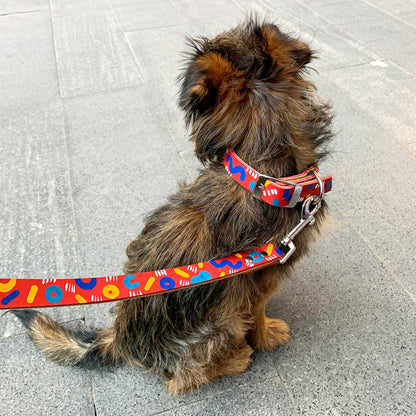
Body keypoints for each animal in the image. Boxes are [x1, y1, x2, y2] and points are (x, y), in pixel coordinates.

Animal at [13, 18, 334, 394]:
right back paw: (235, 359)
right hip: (219, 325)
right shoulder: (258, 282)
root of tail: (120, 337)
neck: (261, 175)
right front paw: (267, 335)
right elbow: (256, 315)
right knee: (183, 378)